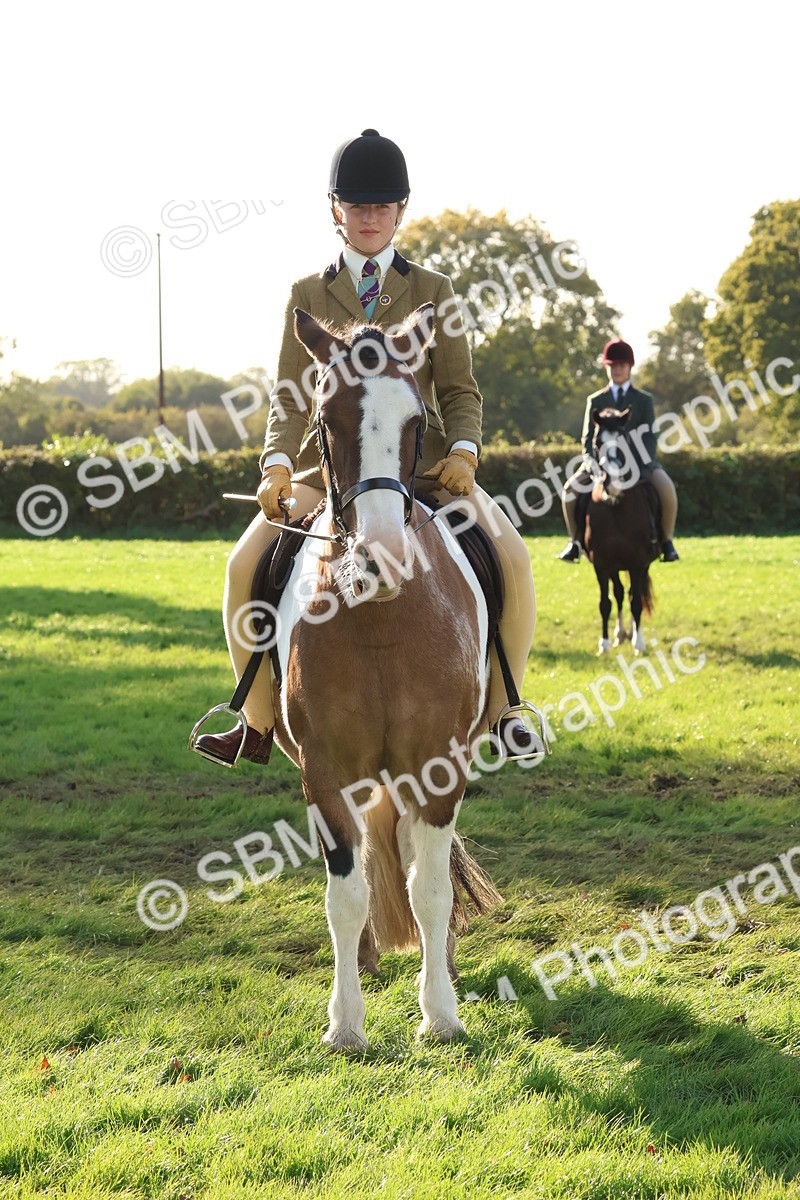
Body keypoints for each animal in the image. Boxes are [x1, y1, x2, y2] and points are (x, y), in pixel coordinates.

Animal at [271, 303, 502, 1050]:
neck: (378, 617)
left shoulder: (437, 763)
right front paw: (345, 1024)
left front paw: (441, 1014)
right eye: (325, 418)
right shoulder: (324, 771)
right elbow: (345, 895)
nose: (381, 557)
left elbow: (429, 886)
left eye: (417, 421)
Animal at [582, 406, 659, 656]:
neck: (616, 506)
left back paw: (632, 634)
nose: (613, 483)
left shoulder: (637, 562)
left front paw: (639, 643)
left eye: (625, 439)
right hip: (614, 566)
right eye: (597, 442)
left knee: (633, 594)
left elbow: (635, 602)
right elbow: (605, 602)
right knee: (618, 593)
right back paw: (619, 634)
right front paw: (604, 643)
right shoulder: (601, 564)